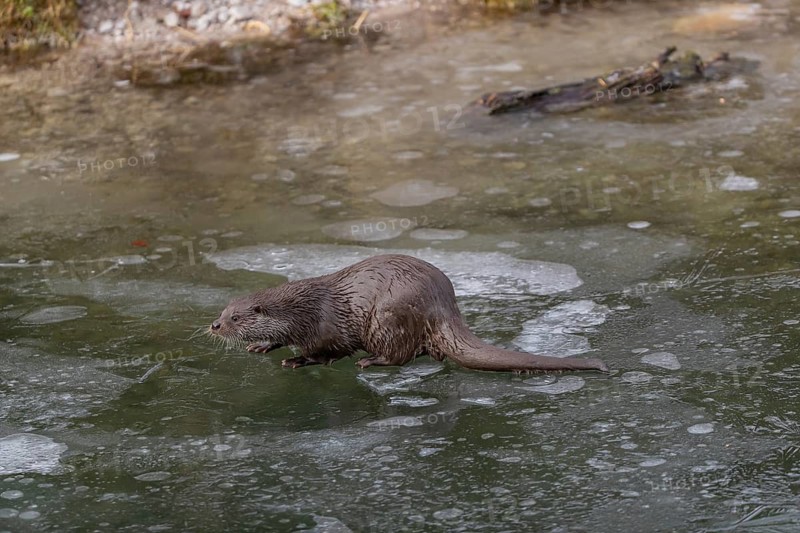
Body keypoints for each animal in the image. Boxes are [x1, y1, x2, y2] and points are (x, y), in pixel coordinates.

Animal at [209, 254, 608, 373]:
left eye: (235, 317)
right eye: (224, 310)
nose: (213, 325)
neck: (302, 310)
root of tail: (444, 306)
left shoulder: (325, 328)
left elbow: (325, 353)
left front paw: (297, 361)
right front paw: (263, 346)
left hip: (387, 317)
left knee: (399, 354)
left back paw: (371, 361)